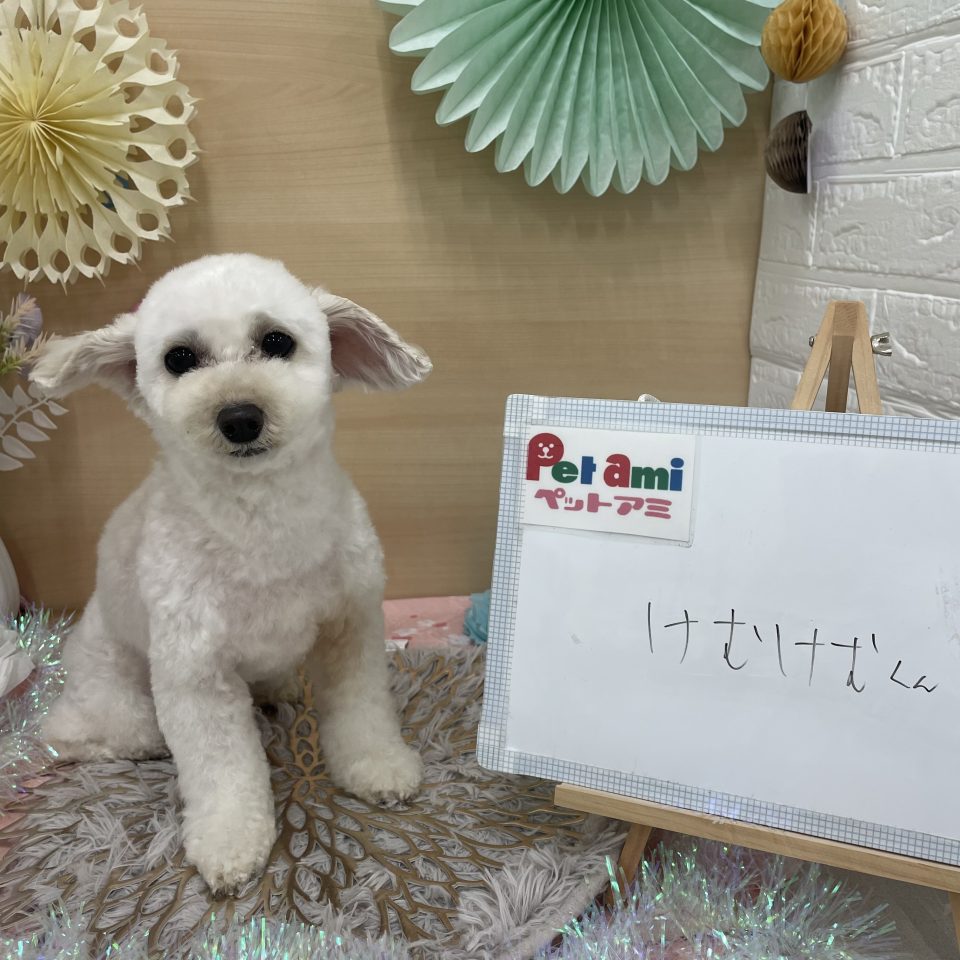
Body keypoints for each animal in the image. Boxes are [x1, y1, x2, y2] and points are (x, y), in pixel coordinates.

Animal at [29, 253, 430, 895]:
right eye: (179, 358)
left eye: (277, 341)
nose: (239, 417)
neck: (261, 522)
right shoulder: (196, 672)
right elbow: (221, 767)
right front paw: (231, 843)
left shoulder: (351, 626)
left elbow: (362, 708)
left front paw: (378, 768)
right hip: (115, 698)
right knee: (83, 733)